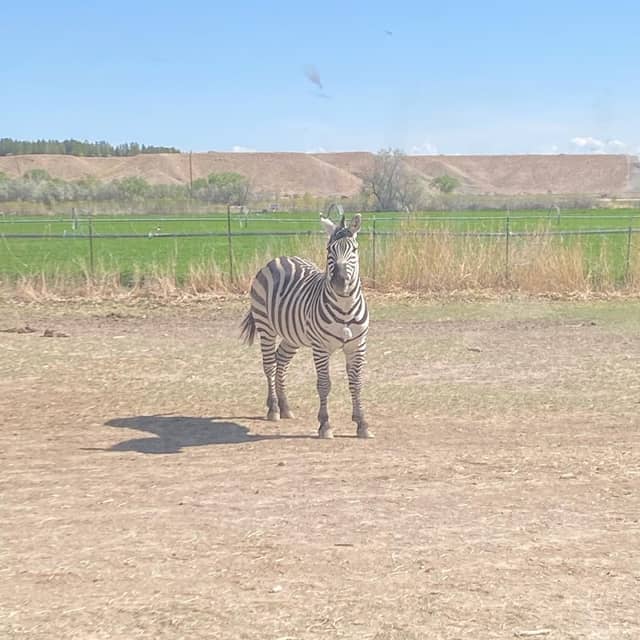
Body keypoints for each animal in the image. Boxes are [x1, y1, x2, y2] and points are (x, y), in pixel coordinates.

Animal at [240, 213, 372, 439]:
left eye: (354, 249)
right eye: (329, 250)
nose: (340, 282)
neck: (345, 307)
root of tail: (280, 258)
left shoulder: (357, 346)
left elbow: (356, 383)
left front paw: (361, 423)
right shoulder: (320, 347)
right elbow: (324, 384)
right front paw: (325, 424)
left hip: (292, 335)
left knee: (281, 361)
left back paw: (284, 406)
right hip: (266, 327)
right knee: (270, 364)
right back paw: (274, 408)